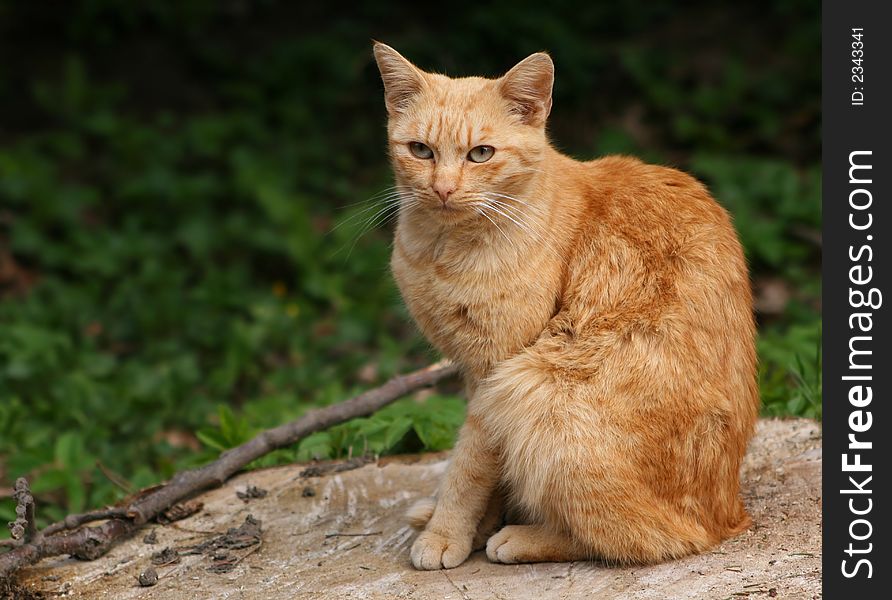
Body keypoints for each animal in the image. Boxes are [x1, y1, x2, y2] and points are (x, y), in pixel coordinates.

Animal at [372, 41, 756, 568]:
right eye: (420, 150)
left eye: (481, 154)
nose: (444, 189)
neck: (442, 250)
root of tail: (732, 515)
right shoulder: (474, 374)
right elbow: (485, 465)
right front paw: (476, 522)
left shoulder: (496, 370)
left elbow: (469, 466)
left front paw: (447, 533)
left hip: (538, 391)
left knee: (652, 537)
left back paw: (524, 535)